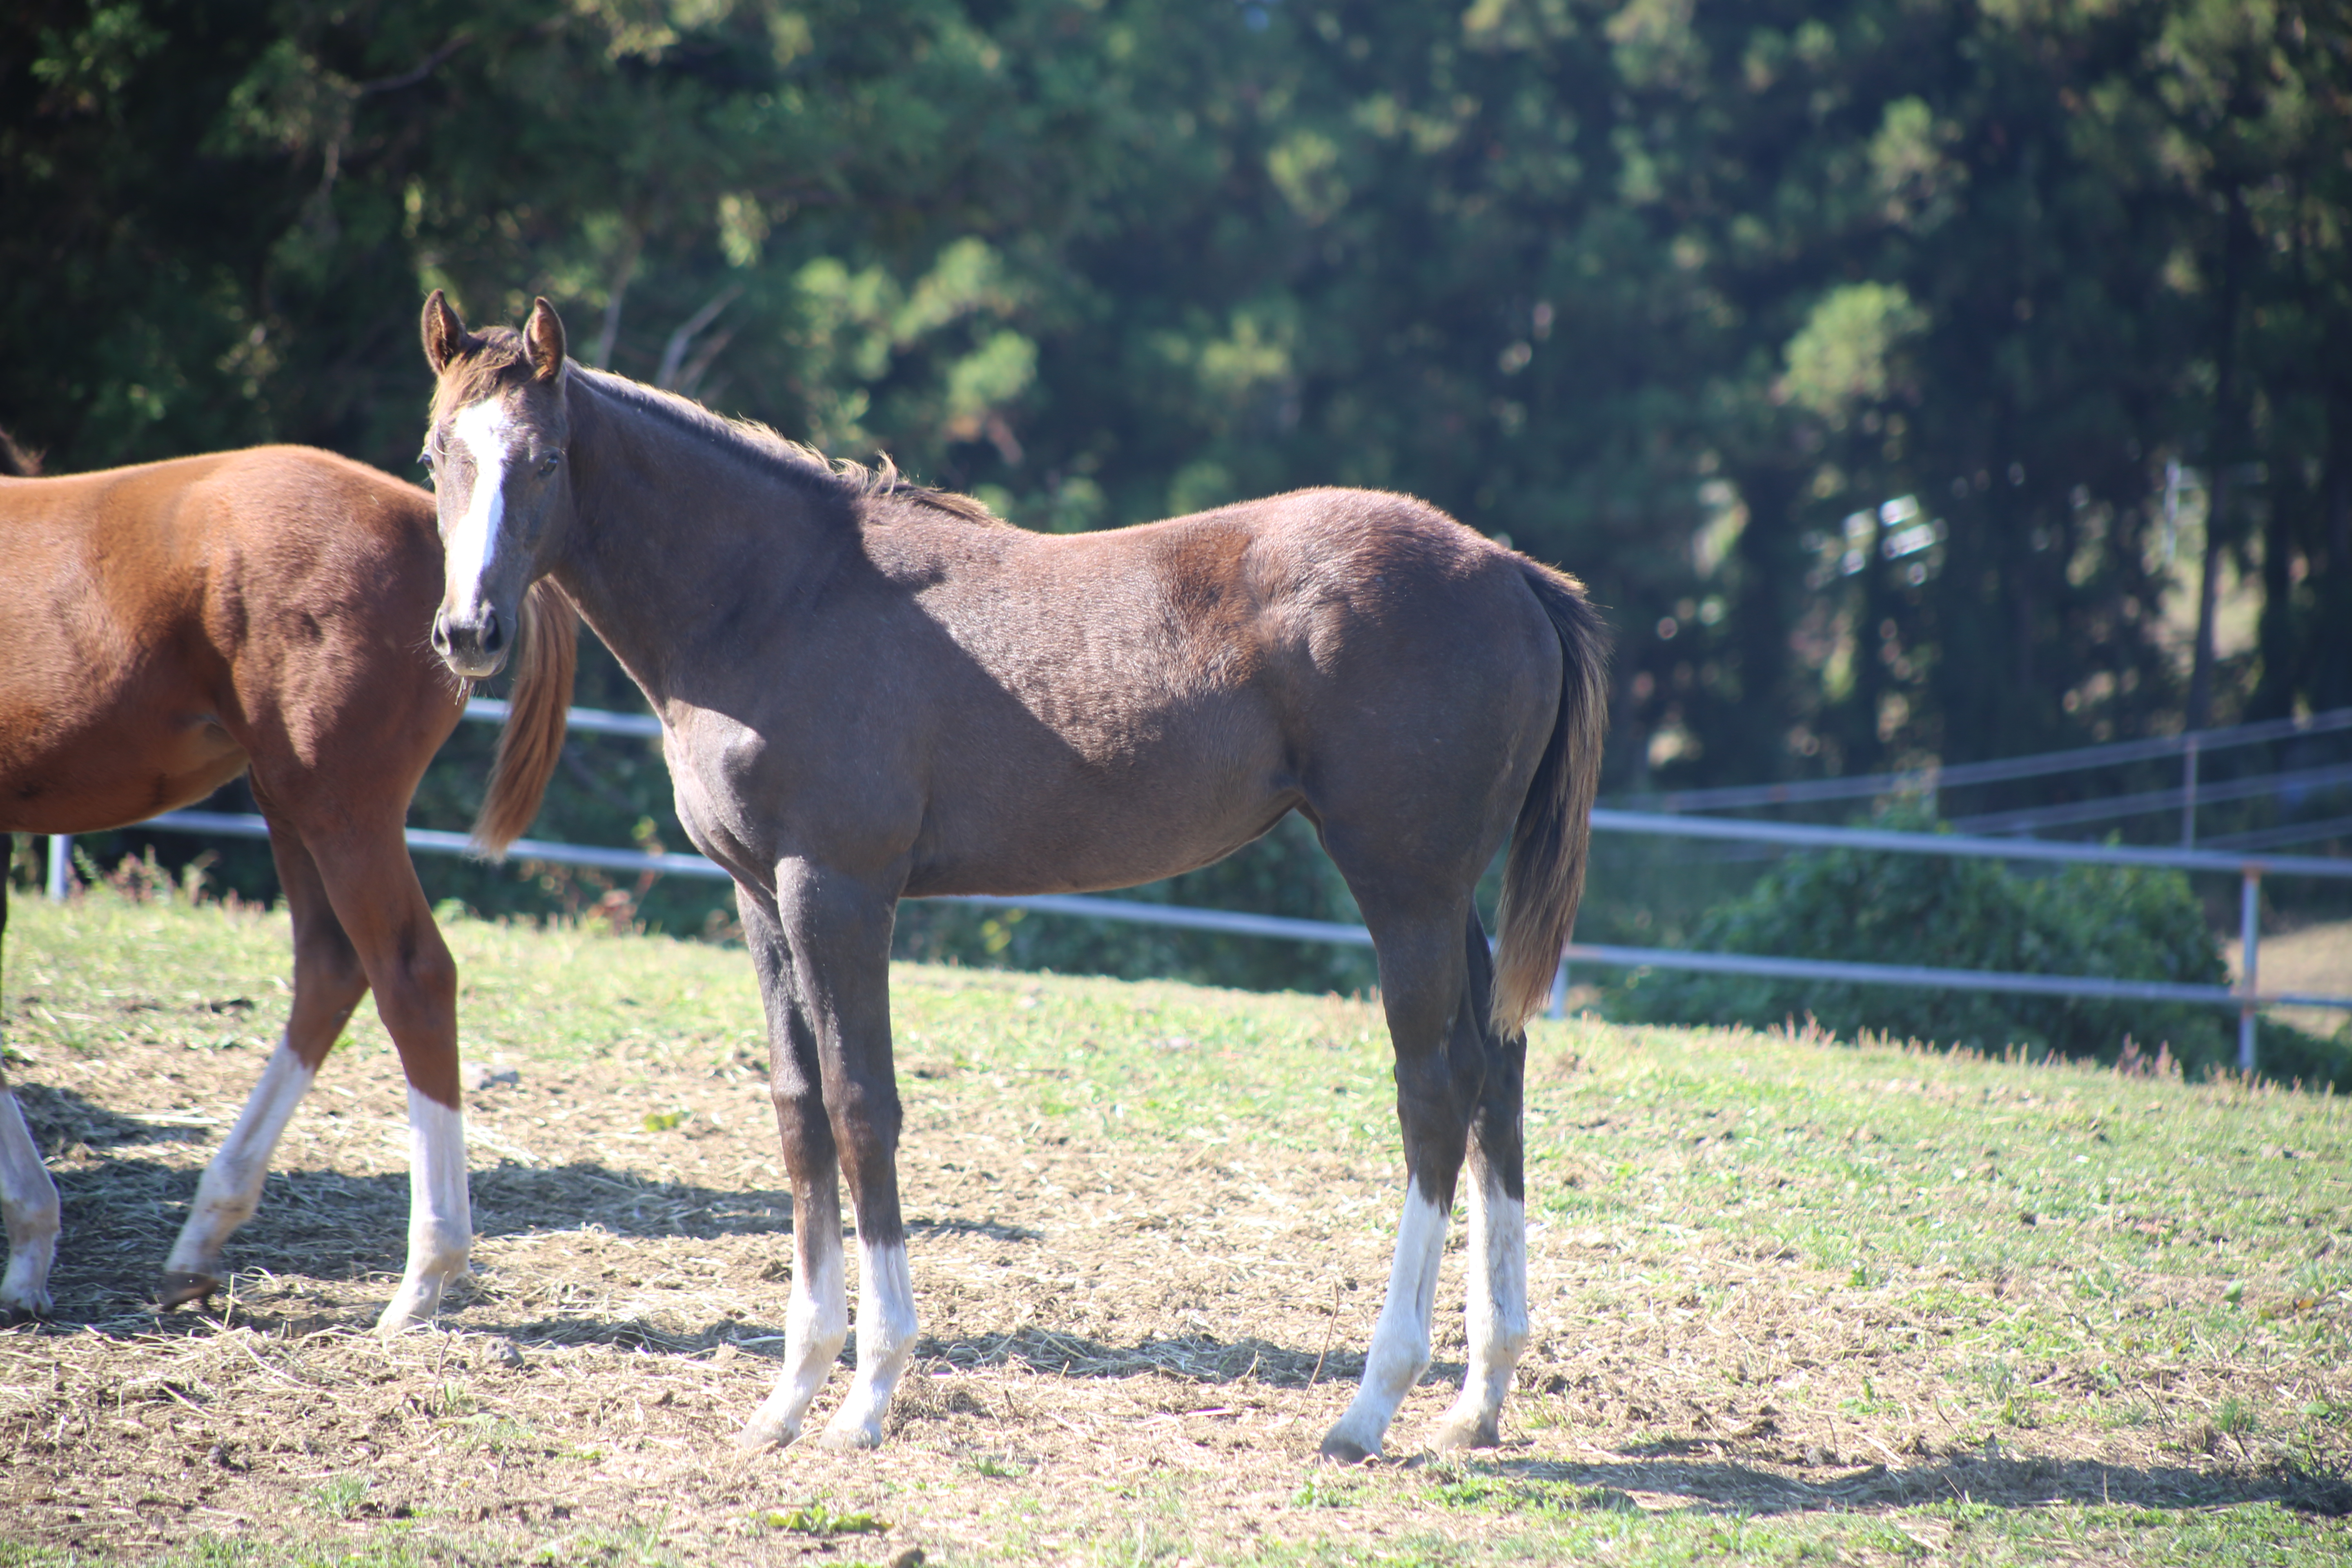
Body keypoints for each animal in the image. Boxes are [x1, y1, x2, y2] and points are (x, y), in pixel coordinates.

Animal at [0, 432, 574, 1335]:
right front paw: (31, 1247)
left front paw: (29, 1240)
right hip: (287, 797)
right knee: (333, 965)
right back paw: (205, 1235)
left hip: (336, 806)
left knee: (411, 973)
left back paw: (426, 1272)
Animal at [414, 294, 1608, 1457]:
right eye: (436, 452)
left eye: (549, 457)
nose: (469, 631)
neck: (774, 601)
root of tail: (1512, 573)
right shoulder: (760, 897)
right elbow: (800, 1111)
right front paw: (788, 1396)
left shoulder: (838, 889)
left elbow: (861, 1105)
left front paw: (867, 1394)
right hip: (1447, 896)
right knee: (1496, 1071)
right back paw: (1477, 1398)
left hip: (1404, 886)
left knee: (1434, 1092)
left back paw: (1371, 1404)